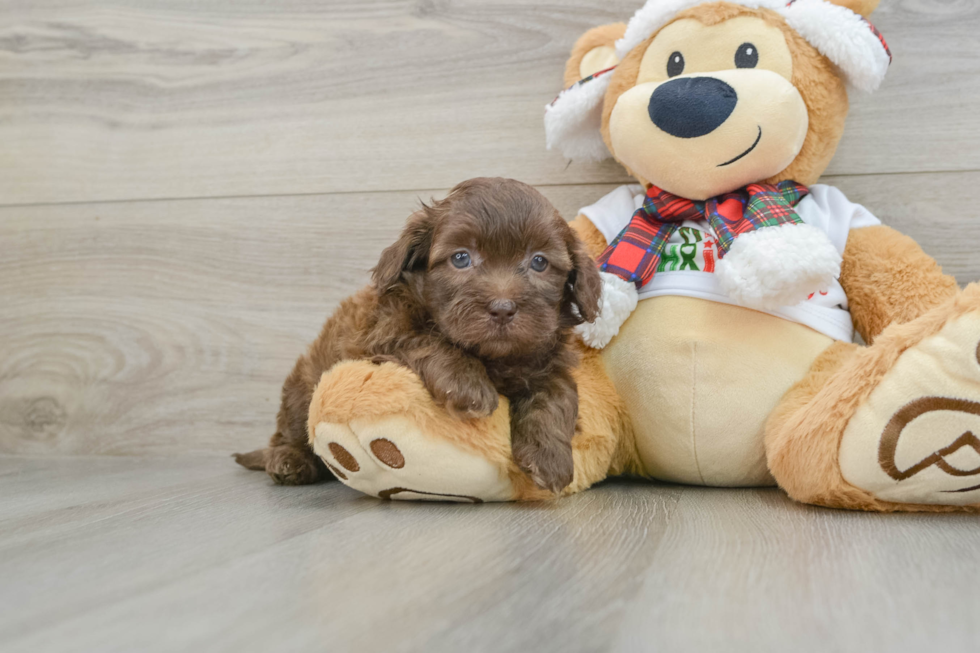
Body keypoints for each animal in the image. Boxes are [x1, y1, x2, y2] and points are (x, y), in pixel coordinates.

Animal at [237, 176, 604, 492]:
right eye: (461, 258)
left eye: (539, 262)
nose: (502, 308)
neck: (492, 357)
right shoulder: (383, 331)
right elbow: (428, 340)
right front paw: (467, 384)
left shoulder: (547, 358)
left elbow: (558, 394)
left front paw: (550, 457)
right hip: (304, 387)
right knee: (290, 430)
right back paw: (288, 460)